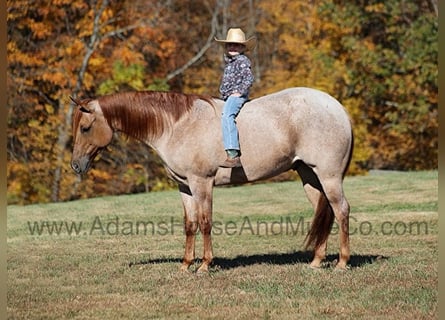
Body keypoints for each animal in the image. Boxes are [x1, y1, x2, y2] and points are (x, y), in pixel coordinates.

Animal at [70, 87, 354, 272]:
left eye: (85, 128)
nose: (75, 165)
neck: (176, 125)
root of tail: (338, 108)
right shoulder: (184, 186)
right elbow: (190, 224)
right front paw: (185, 264)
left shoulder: (202, 182)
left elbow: (205, 222)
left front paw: (205, 265)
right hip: (309, 176)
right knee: (324, 211)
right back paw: (316, 261)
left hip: (328, 176)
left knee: (341, 210)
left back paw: (342, 263)